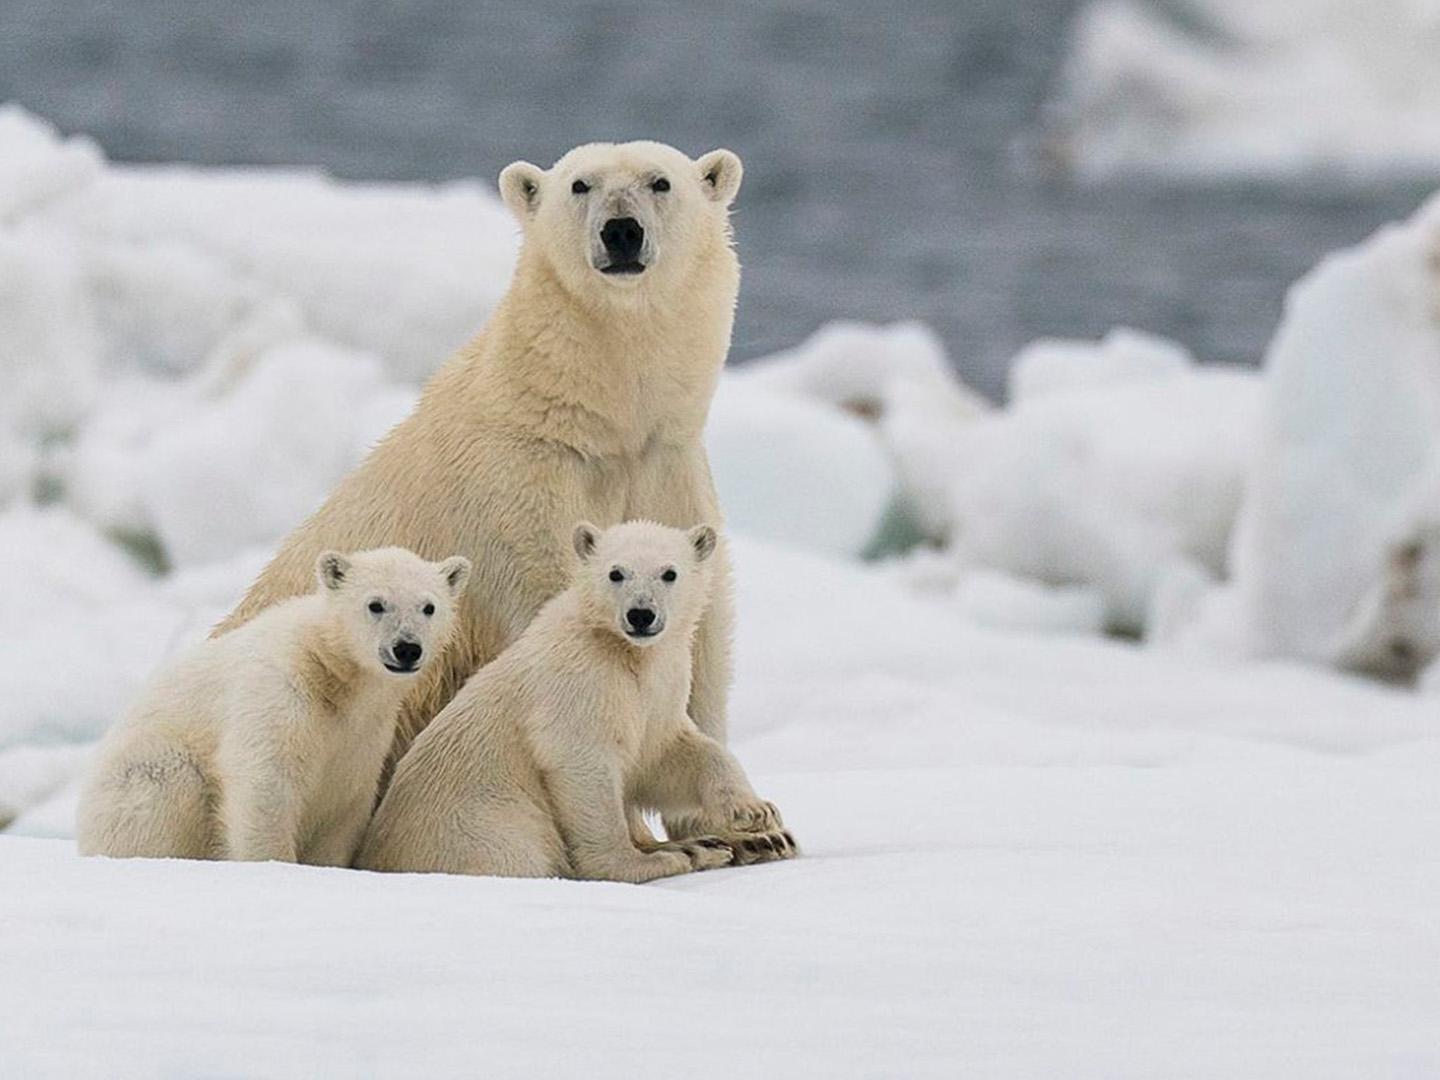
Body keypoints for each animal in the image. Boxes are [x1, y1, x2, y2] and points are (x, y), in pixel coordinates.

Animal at [217, 141, 794, 864]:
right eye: (581, 185)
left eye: (660, 181)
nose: (621, 232)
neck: (595, 424)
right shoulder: (519, 497)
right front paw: (660, 841)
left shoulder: (668, 469)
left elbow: (702, 638)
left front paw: (755, 830)